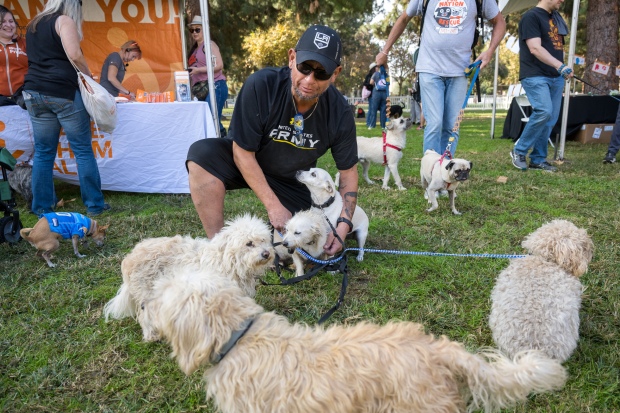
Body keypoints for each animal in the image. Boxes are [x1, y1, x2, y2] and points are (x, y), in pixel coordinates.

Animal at [103, 214, 272, 340]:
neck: (228, 260)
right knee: (144, 316)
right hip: (147, 294)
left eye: (263, 240)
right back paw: (152, 335)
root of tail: (129, 258)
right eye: (249, 243)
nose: (266, 254)